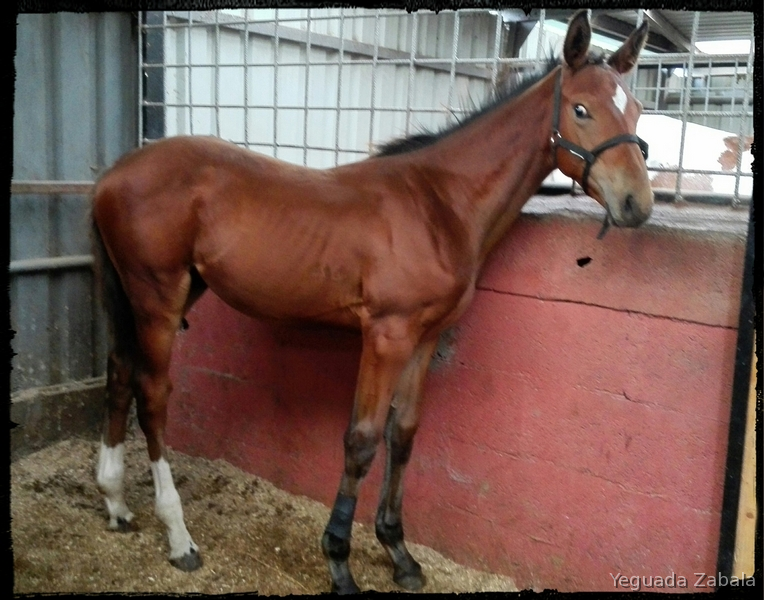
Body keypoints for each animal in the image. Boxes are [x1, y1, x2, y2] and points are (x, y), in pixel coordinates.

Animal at [90, 10, 651, 594]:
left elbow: (402, 434)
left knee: (119, 372)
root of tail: (113, 175)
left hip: (149, 293)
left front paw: (398, 551)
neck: (439, 204)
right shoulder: (386, 335)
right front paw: (339, 561)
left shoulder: (423, 338)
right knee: (152, 395)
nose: (638, 203)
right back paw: (178, 536)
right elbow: (361, 440)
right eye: (581, 109)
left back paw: (115, 503)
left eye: (635, 108)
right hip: (158, 297)